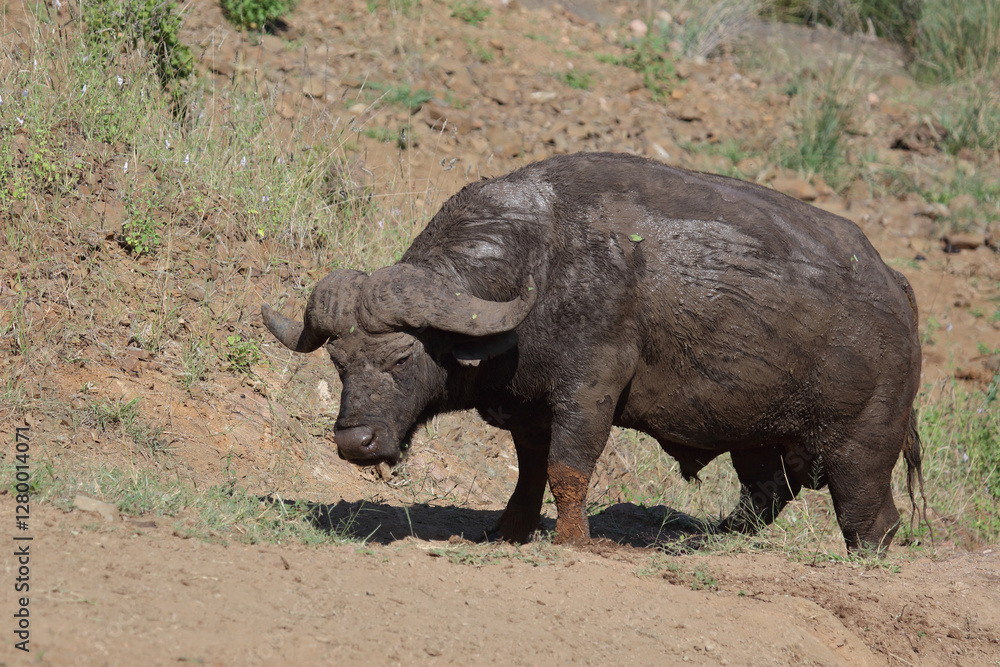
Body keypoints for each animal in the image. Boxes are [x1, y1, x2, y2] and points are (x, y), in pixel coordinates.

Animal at [262, 152, 923, 552]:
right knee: (765, 495)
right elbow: (530, 473)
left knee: (871, 520)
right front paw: (510, 531)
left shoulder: (588, 390)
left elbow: (568, 468)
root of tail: (897, 290)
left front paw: (572, 541)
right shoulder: (528, 408)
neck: (542, 263)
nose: (356, 442)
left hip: (861, 450)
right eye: (339, 362)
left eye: (402, 357)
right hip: (759, 440)